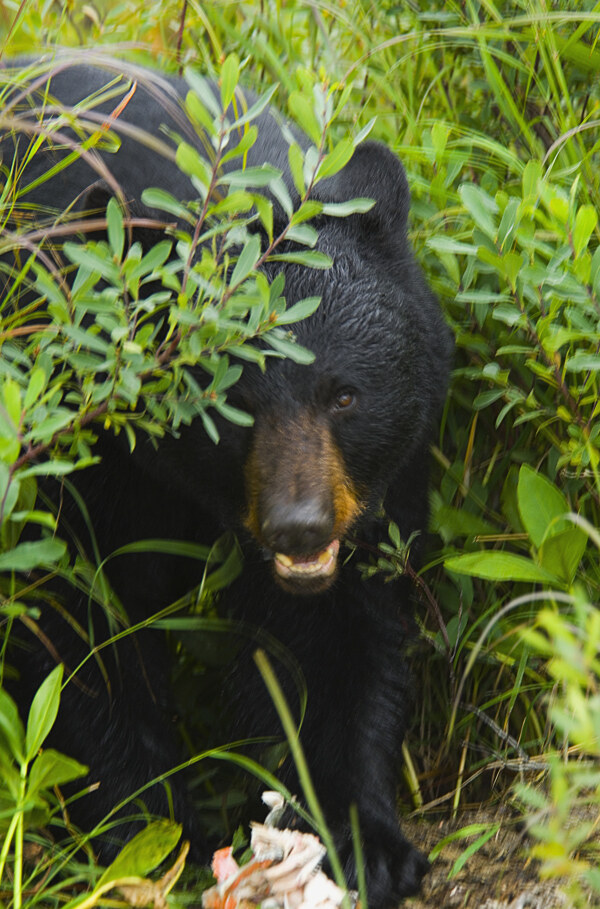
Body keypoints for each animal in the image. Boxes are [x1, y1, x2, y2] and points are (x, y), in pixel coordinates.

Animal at [0, 53, 450, 904]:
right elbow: (79, 617)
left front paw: (362, 841)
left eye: (344, 394)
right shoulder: (74, 437)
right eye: (229, 403)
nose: (300, 525)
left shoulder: (386, 470)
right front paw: (152, 833)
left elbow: (331, 639)